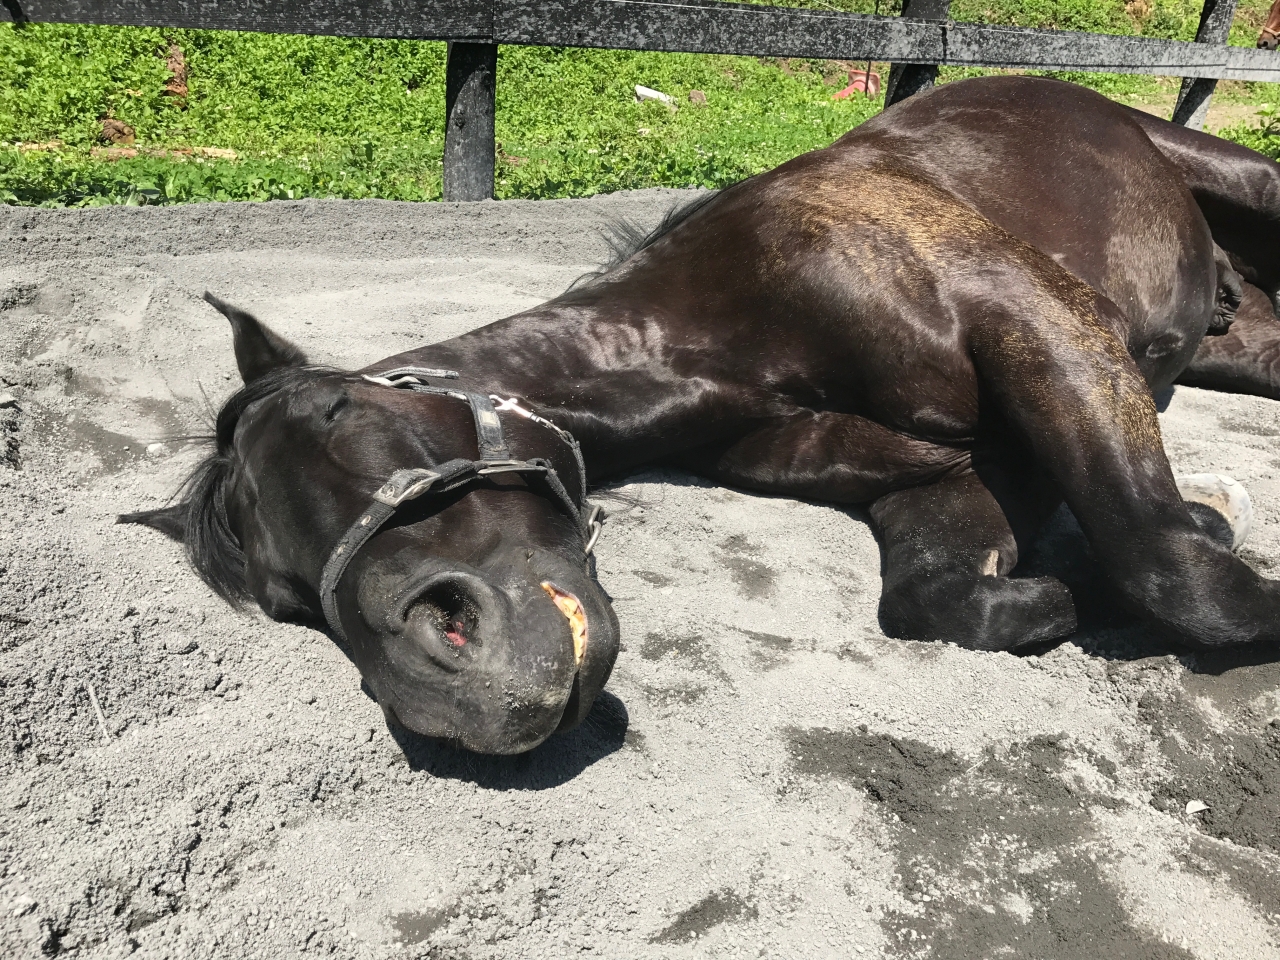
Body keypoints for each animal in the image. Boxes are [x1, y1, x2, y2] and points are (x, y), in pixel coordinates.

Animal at [124, 79, 1280, 757]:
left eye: (338, 409)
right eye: (284, 598)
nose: (452, 686)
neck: (721, 335)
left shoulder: (1039, 325)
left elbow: (1163, 559)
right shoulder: (946, 470)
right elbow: (937, 596)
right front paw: (1074, 589)